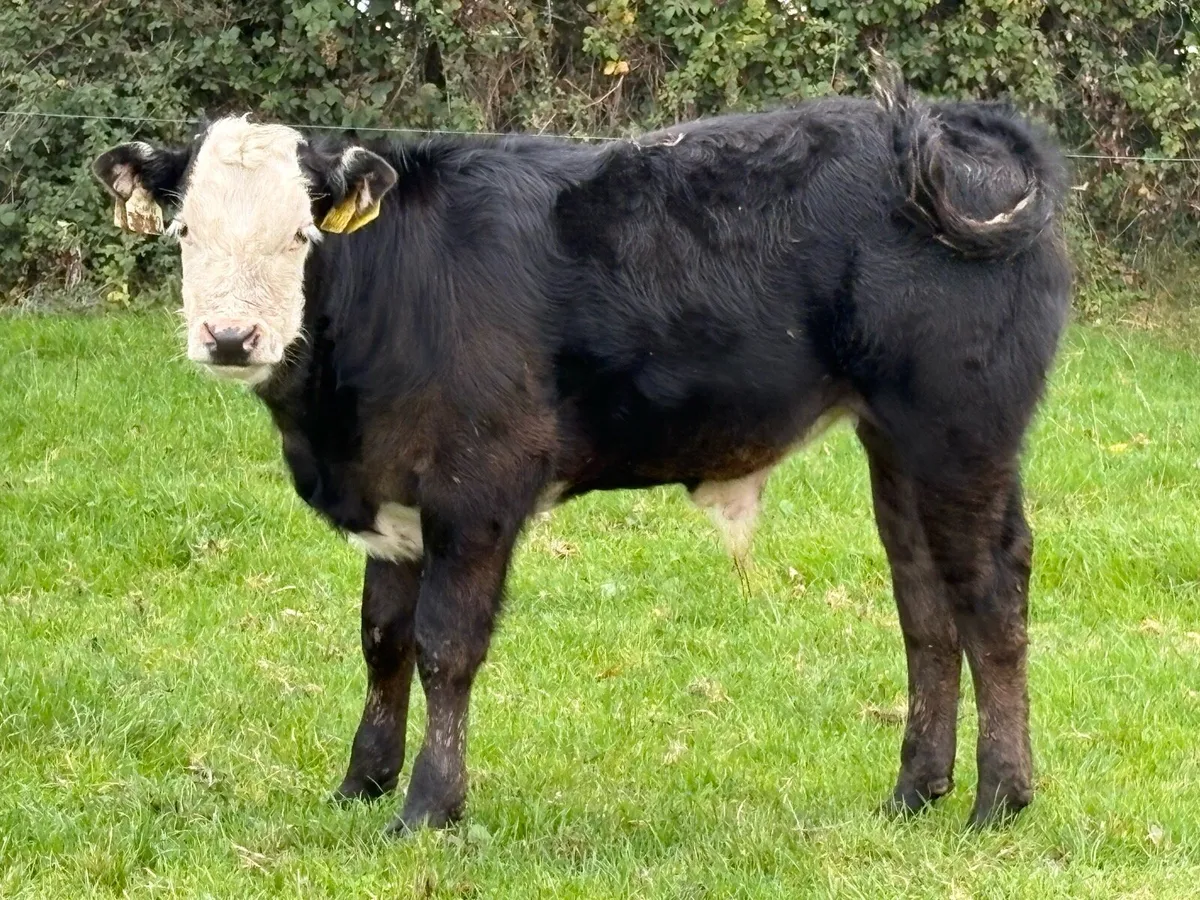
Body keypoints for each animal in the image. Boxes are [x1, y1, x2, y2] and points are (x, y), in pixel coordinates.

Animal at [91, 68, 1071, 834]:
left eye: (301, 234)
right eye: (185, 233)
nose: (230, 337)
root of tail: (954, 126)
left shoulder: (478, 485)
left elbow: (445, 647)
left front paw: (429, 807)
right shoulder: (396, 495)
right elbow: (382, 641)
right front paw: (360, 784)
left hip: (961, 429)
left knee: (991, 594)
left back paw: (999, 800)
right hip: (898, 441)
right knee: (925, 604)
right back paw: (915, 792)